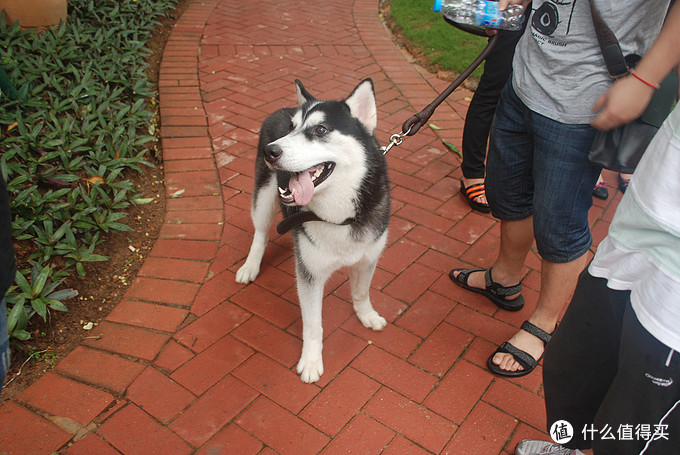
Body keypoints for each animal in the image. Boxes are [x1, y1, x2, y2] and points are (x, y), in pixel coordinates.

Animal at [236, 79, 390, 384]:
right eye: (292, 128)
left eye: (320, 130)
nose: (271, 151)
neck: (340, 217)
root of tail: (281, 108)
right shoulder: (310, 275)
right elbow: (313, 325)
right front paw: (310, 361)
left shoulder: (367, 258)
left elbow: (361, 293)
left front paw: (366, 315)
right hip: (264, 197)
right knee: (260, 233)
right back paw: (251, 265)